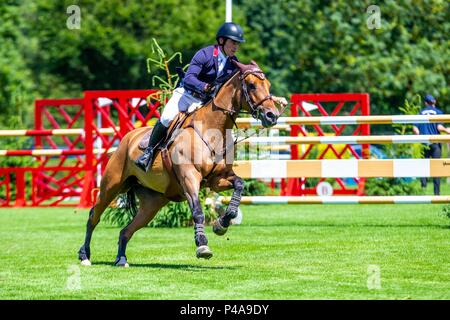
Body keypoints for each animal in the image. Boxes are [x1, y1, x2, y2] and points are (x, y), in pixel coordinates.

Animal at [78, 60, 282, 268]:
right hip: (112, 186)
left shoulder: (218, 179)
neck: (212, 130)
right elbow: (198, 211)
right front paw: (202, 246)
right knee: (94, 215)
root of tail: (126, 139)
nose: (272, 115)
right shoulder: (189, 177)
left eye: (268, 85)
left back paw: (121, 259)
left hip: (152, 204)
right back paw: (85, 255)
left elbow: (239, 184)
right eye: (251, 85)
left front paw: (222, 223)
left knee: (126, 230)